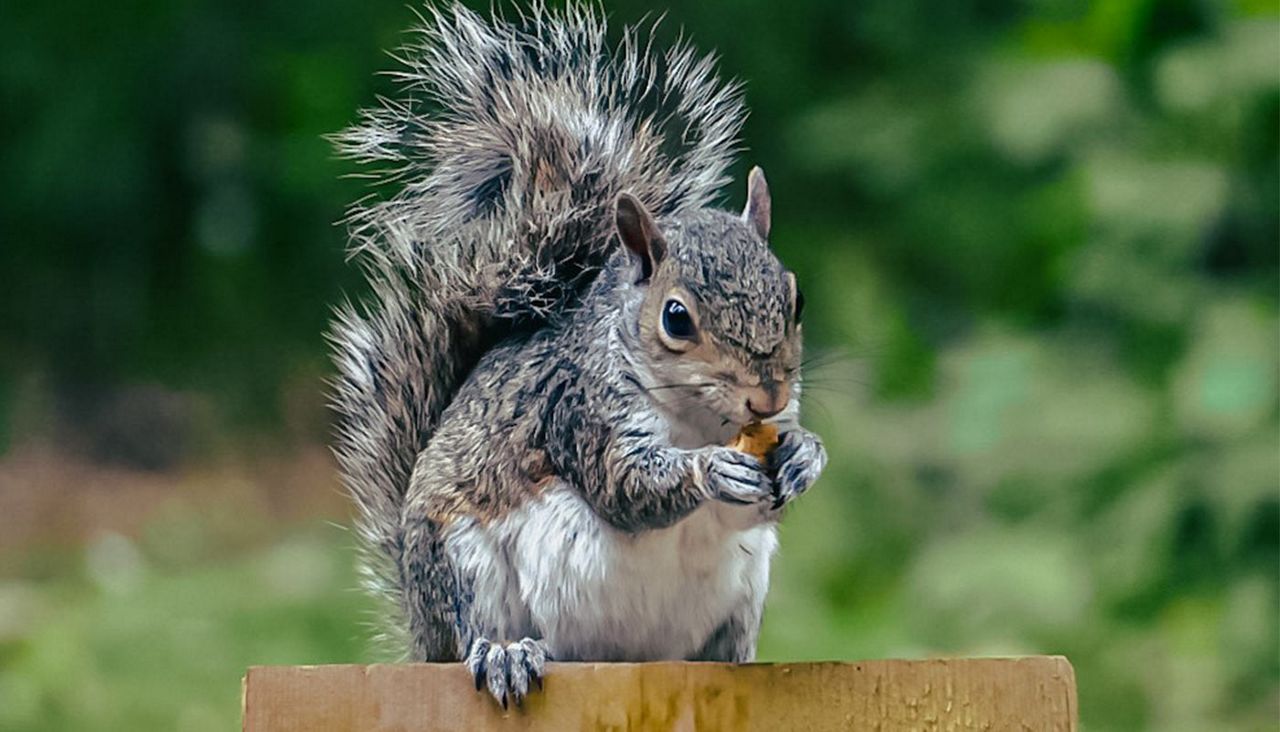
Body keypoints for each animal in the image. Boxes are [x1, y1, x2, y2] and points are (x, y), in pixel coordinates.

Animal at [328, 2, 827, 708]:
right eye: (676, 318)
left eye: (796, 296)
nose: (769, 395)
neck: (700, 417)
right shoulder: (577, 409)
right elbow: (626, 484)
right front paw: (709, 470)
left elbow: (764, 494)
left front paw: (805, 455)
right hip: (461, 564)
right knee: (471, 632)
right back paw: (504, 651)